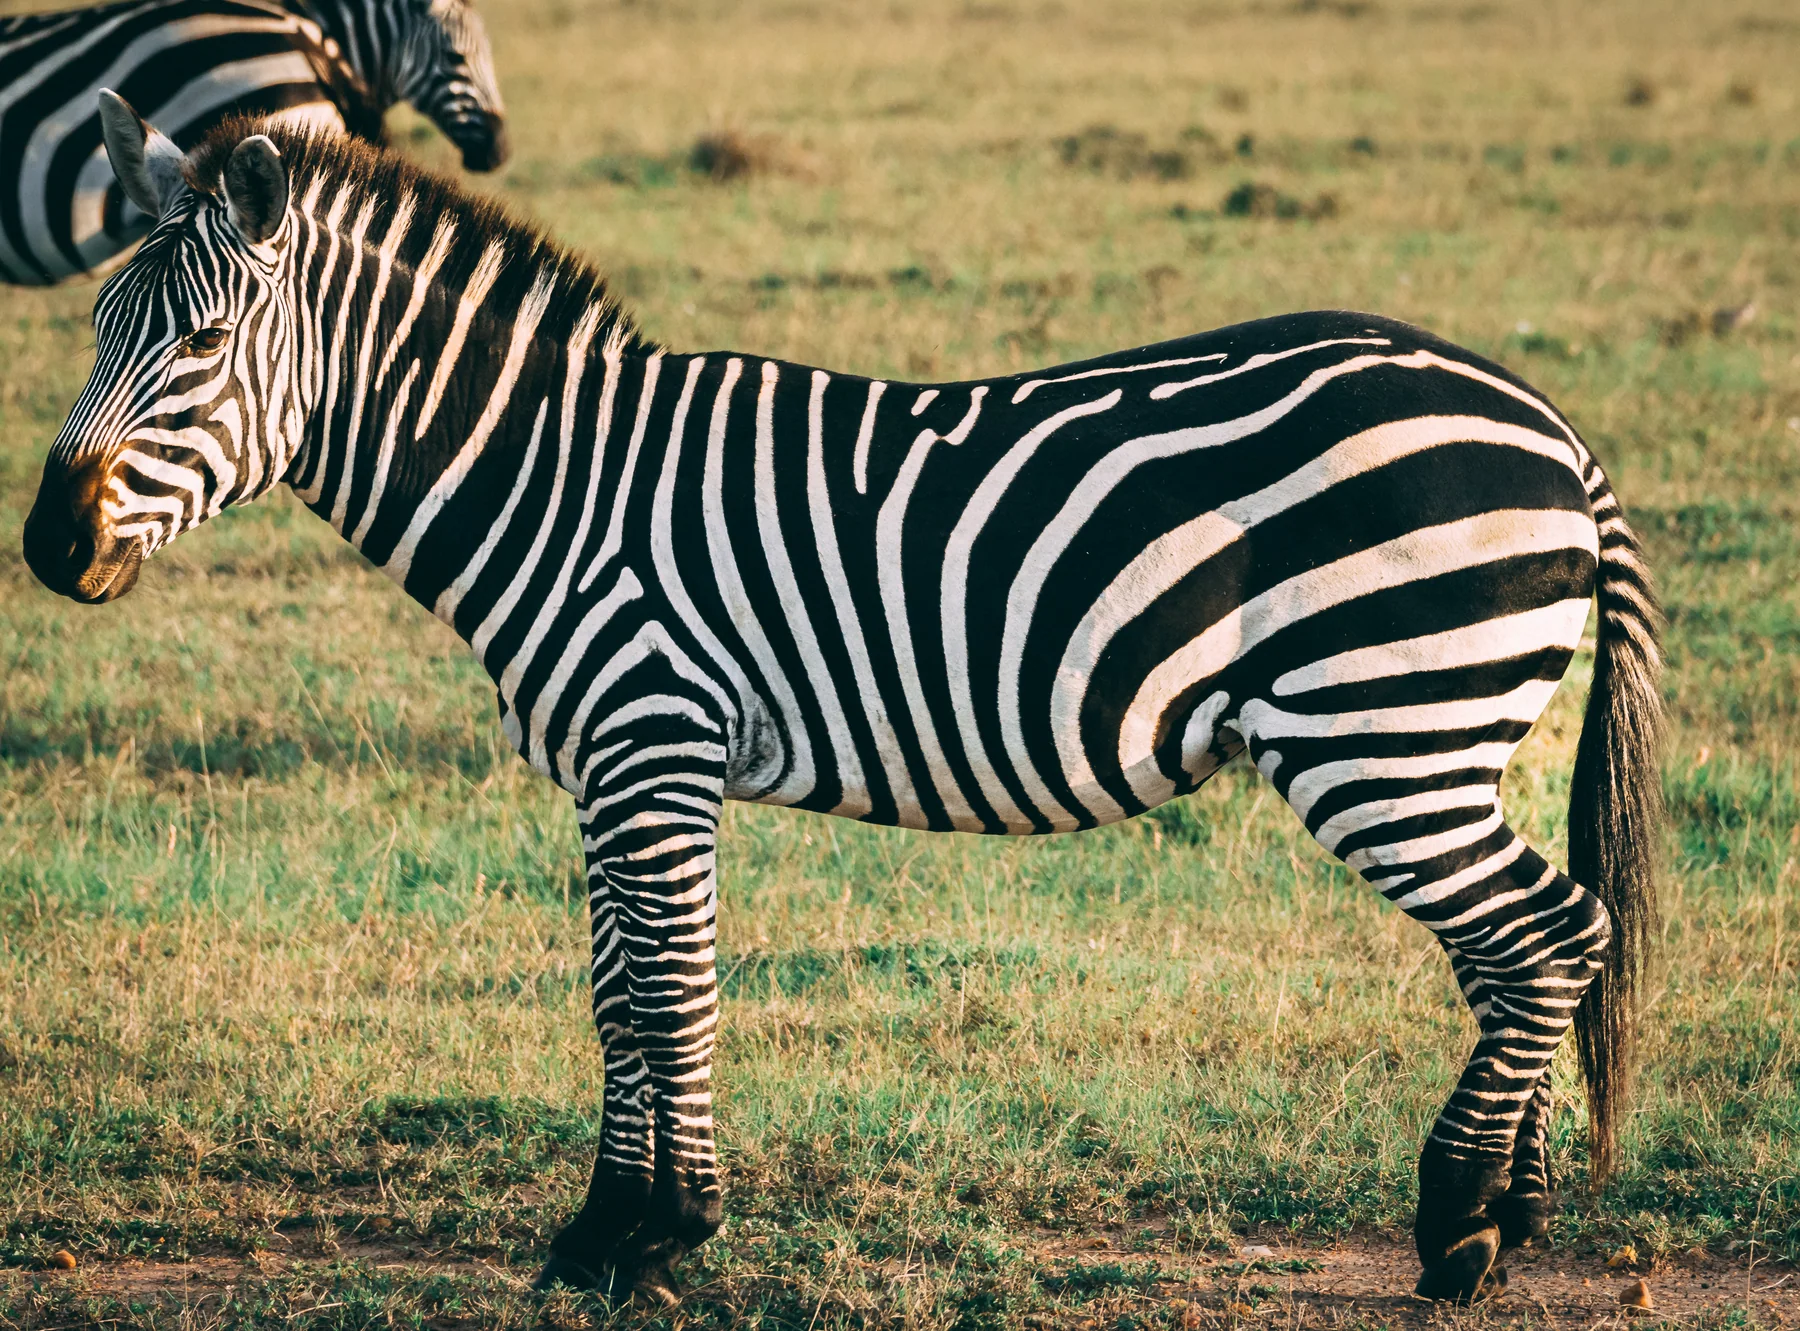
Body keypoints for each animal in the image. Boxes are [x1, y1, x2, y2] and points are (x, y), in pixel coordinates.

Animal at [23, 101, 1663, 1305]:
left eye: (199, 344)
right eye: (98, 326)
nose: (45, 544)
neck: (554, 481)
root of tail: (1553, 427)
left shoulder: (653, 740)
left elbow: (663, 990)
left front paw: (655, 1231)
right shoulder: (613, 765)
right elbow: (615, 992)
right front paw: (618, 1226)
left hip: (1378, 728)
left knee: (1548, 933)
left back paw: (1456, 1228)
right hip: (1471, 734)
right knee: (1529, 948)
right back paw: (1510, 1212)